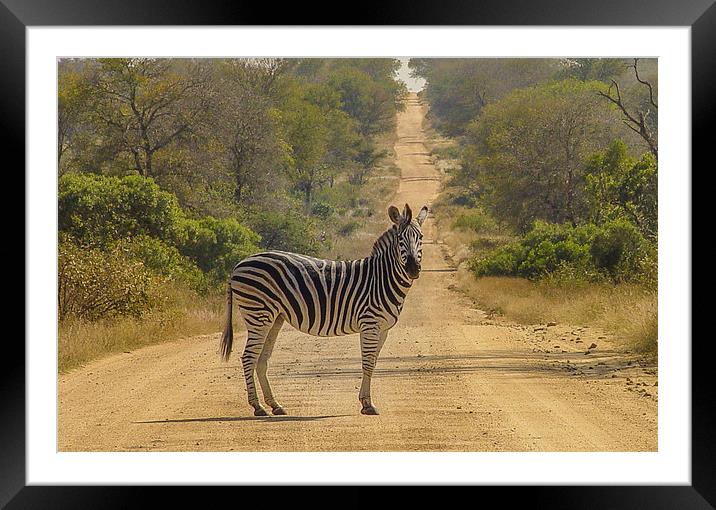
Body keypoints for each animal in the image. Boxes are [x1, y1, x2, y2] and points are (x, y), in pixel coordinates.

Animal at [221, 201, 428, 416]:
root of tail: (238, 265)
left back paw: (275, 405)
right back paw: (257, 406)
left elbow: (373, 363)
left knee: (261, 360)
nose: (413, 269)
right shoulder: (369, 324)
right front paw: (368, 404)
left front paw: (365, 402)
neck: (382, 278)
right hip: (258, 313)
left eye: (420, 237)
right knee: (248, 357)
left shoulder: (383, 329)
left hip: (274, 317)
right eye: (400, 238)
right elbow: (368, 362)